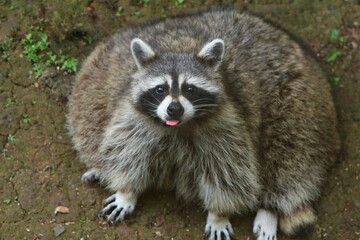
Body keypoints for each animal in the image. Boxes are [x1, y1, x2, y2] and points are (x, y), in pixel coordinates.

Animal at [66, 6, 338, 240]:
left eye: (189, 88)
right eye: (160, 89)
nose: (174, 108)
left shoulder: (227, 125)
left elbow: (229, 173)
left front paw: (219, 214)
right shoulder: (135, 119)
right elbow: (128, 153)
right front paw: (127, 191)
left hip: (300, 105)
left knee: (289, 157)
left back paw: (270, 208)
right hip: (96, 77)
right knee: (88, 115)